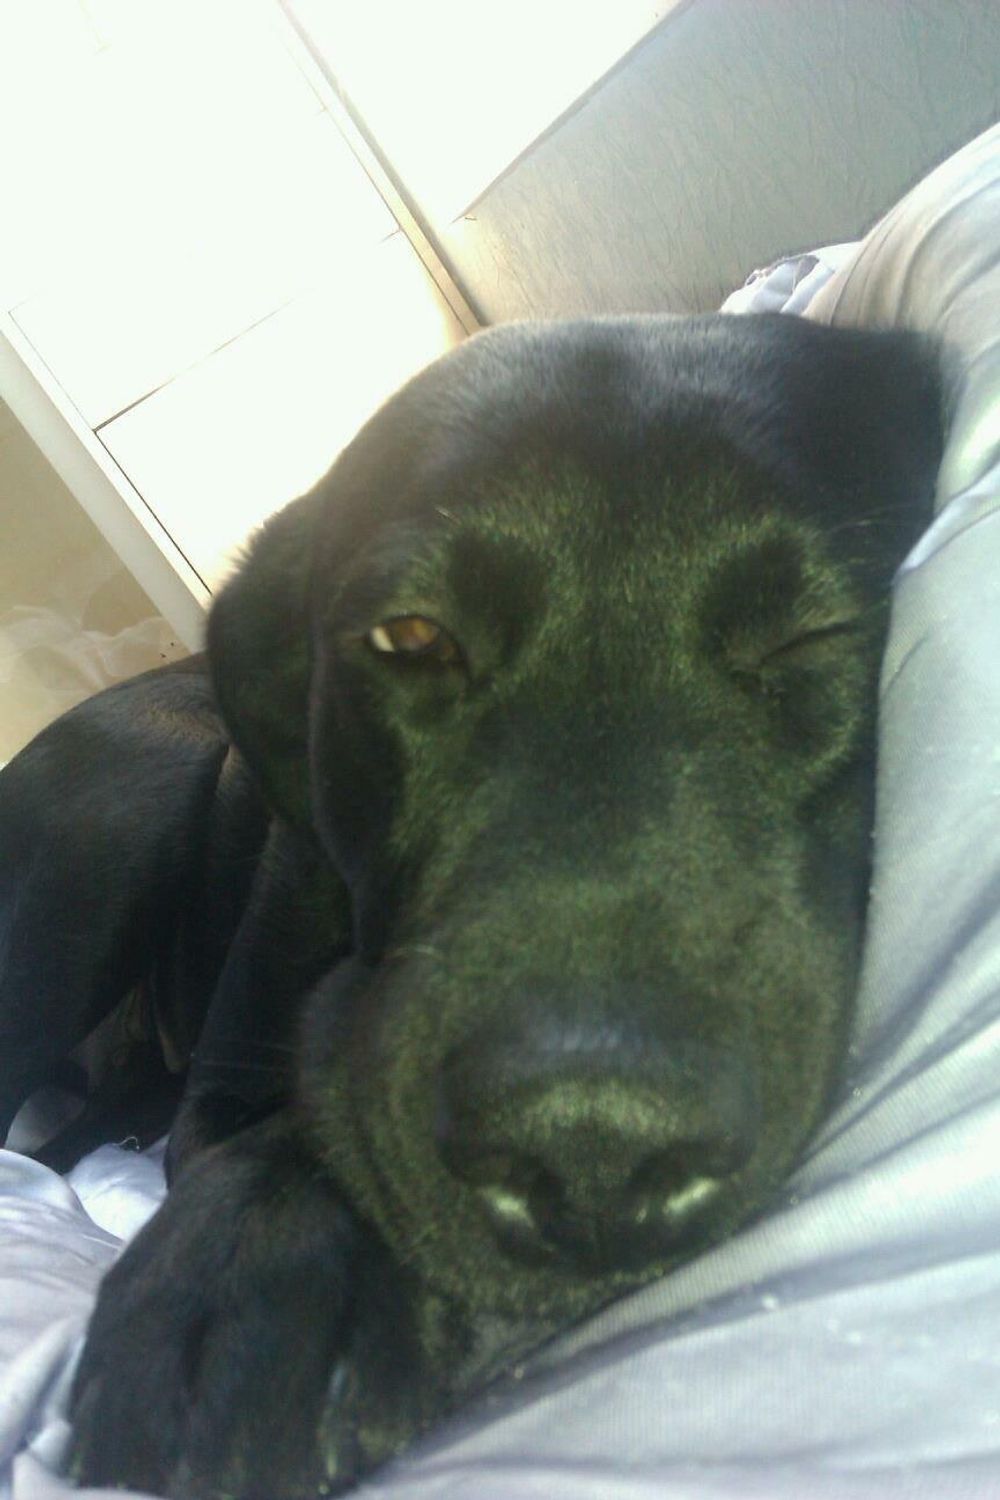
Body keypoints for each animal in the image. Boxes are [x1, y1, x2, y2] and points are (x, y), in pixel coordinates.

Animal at [0, 313, 942, 1498]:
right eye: (409, 639)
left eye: (813, 635)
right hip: (128, 809)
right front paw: (250, 1268)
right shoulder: (224, 1077)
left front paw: (247, 1269)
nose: (593, 1150)